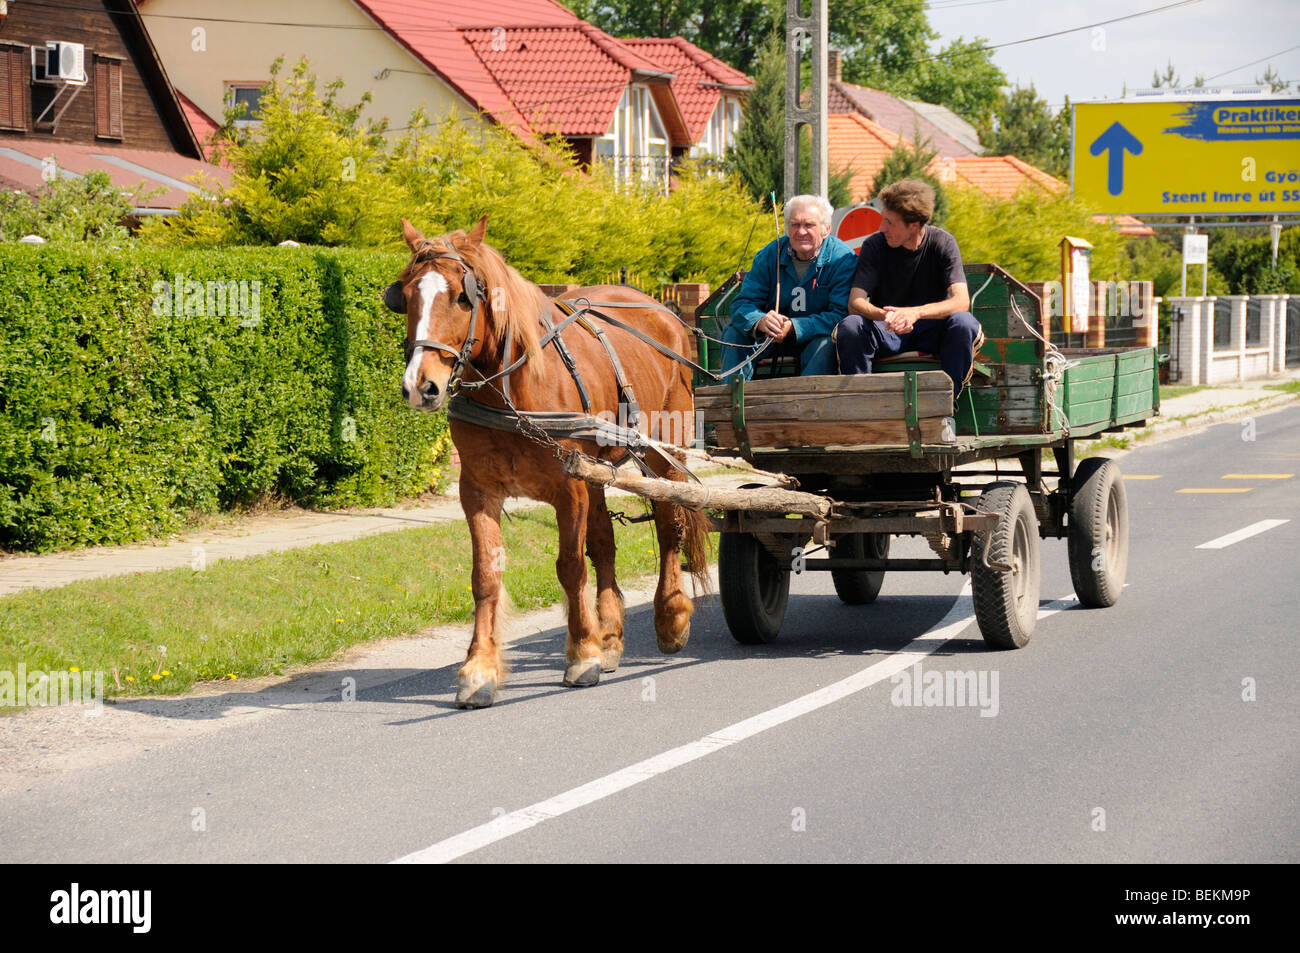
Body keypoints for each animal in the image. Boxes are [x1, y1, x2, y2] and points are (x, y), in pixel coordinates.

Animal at [392, 215, 712, 707]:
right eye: (405, 295)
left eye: (463, 297)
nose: (419, 385)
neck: (510, 390)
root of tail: (660, 309)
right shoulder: (478, 490)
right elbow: (486, 575)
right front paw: (479, 669)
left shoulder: (570, 487)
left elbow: (570, 566)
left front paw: (582, 653)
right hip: (598, 473)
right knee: (605, 544)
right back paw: (611, 634)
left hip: (666, 454)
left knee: (667, 528)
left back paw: (671, 616)